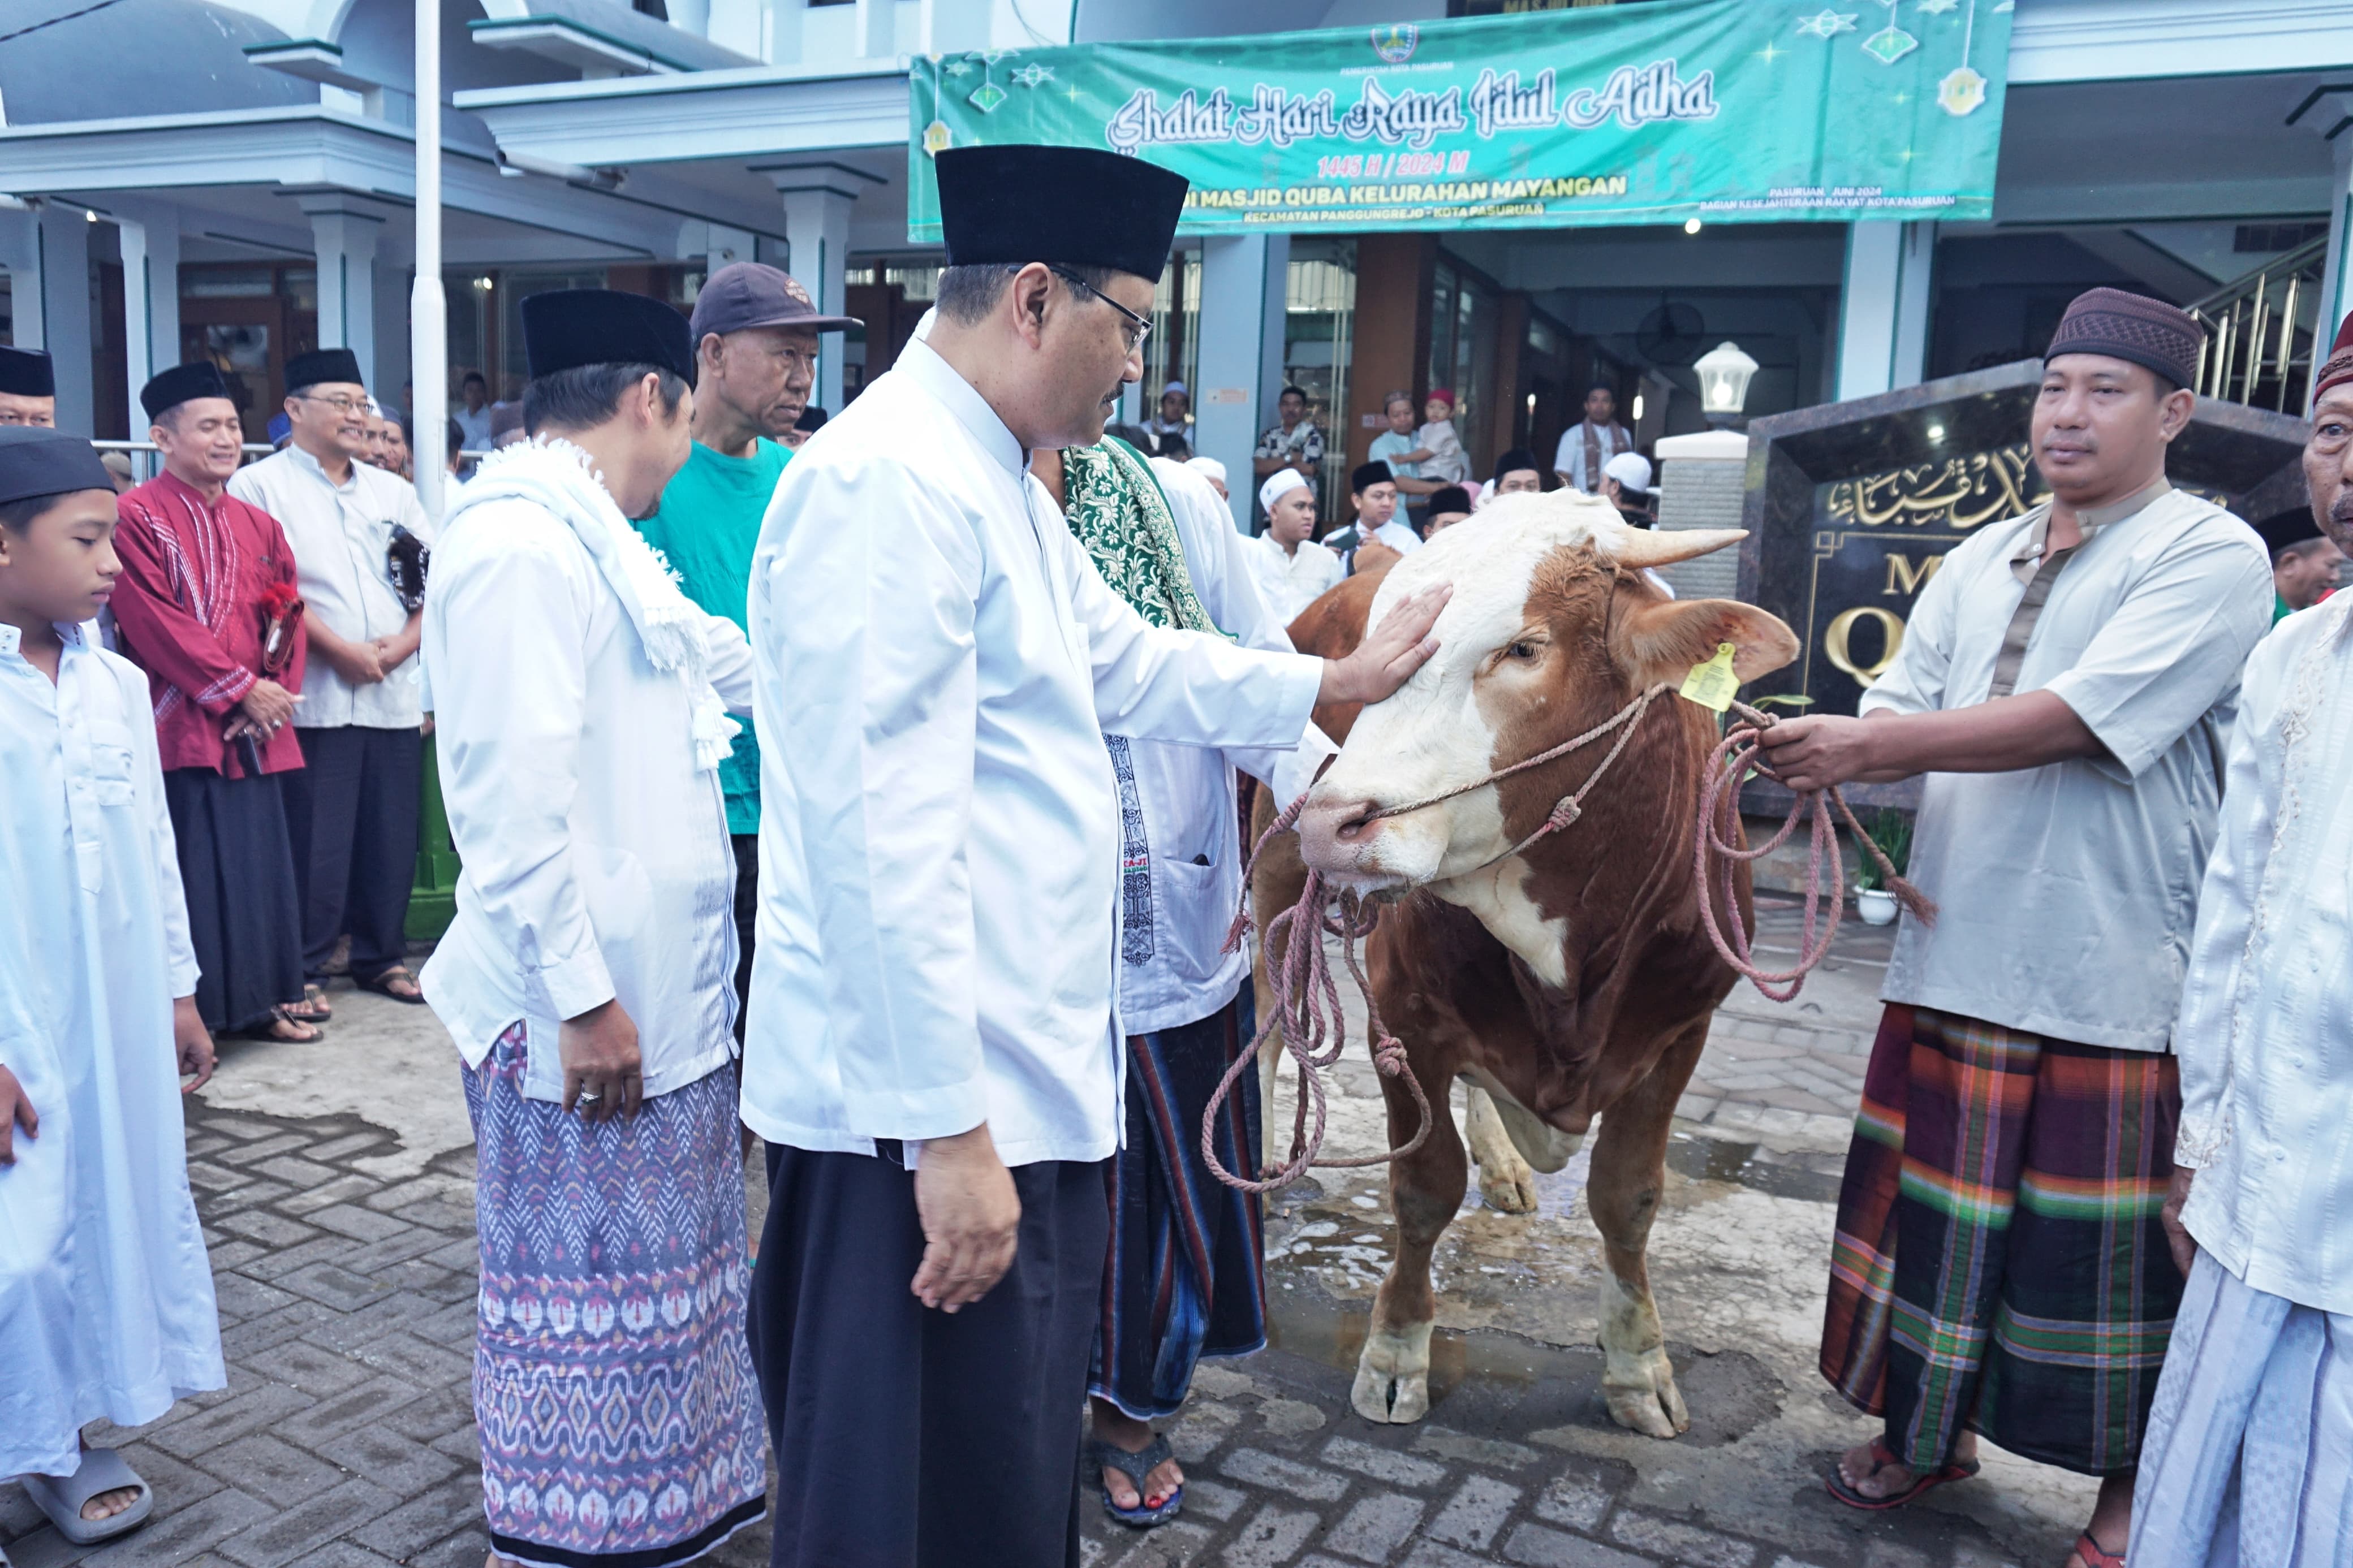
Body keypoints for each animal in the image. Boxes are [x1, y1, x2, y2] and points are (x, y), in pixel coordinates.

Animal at [1261, 491, 1788, 1439]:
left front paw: (1638, 1363)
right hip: (1270, 890)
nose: (1331, 819)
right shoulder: (1404, 1012)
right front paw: (1396, 1353)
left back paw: (1504, 1161)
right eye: (1375, 657)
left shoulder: (1682, 1030)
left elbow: (1629, 1196)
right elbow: (1423, 1187)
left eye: (1524, 649)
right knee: (1267, 1023)